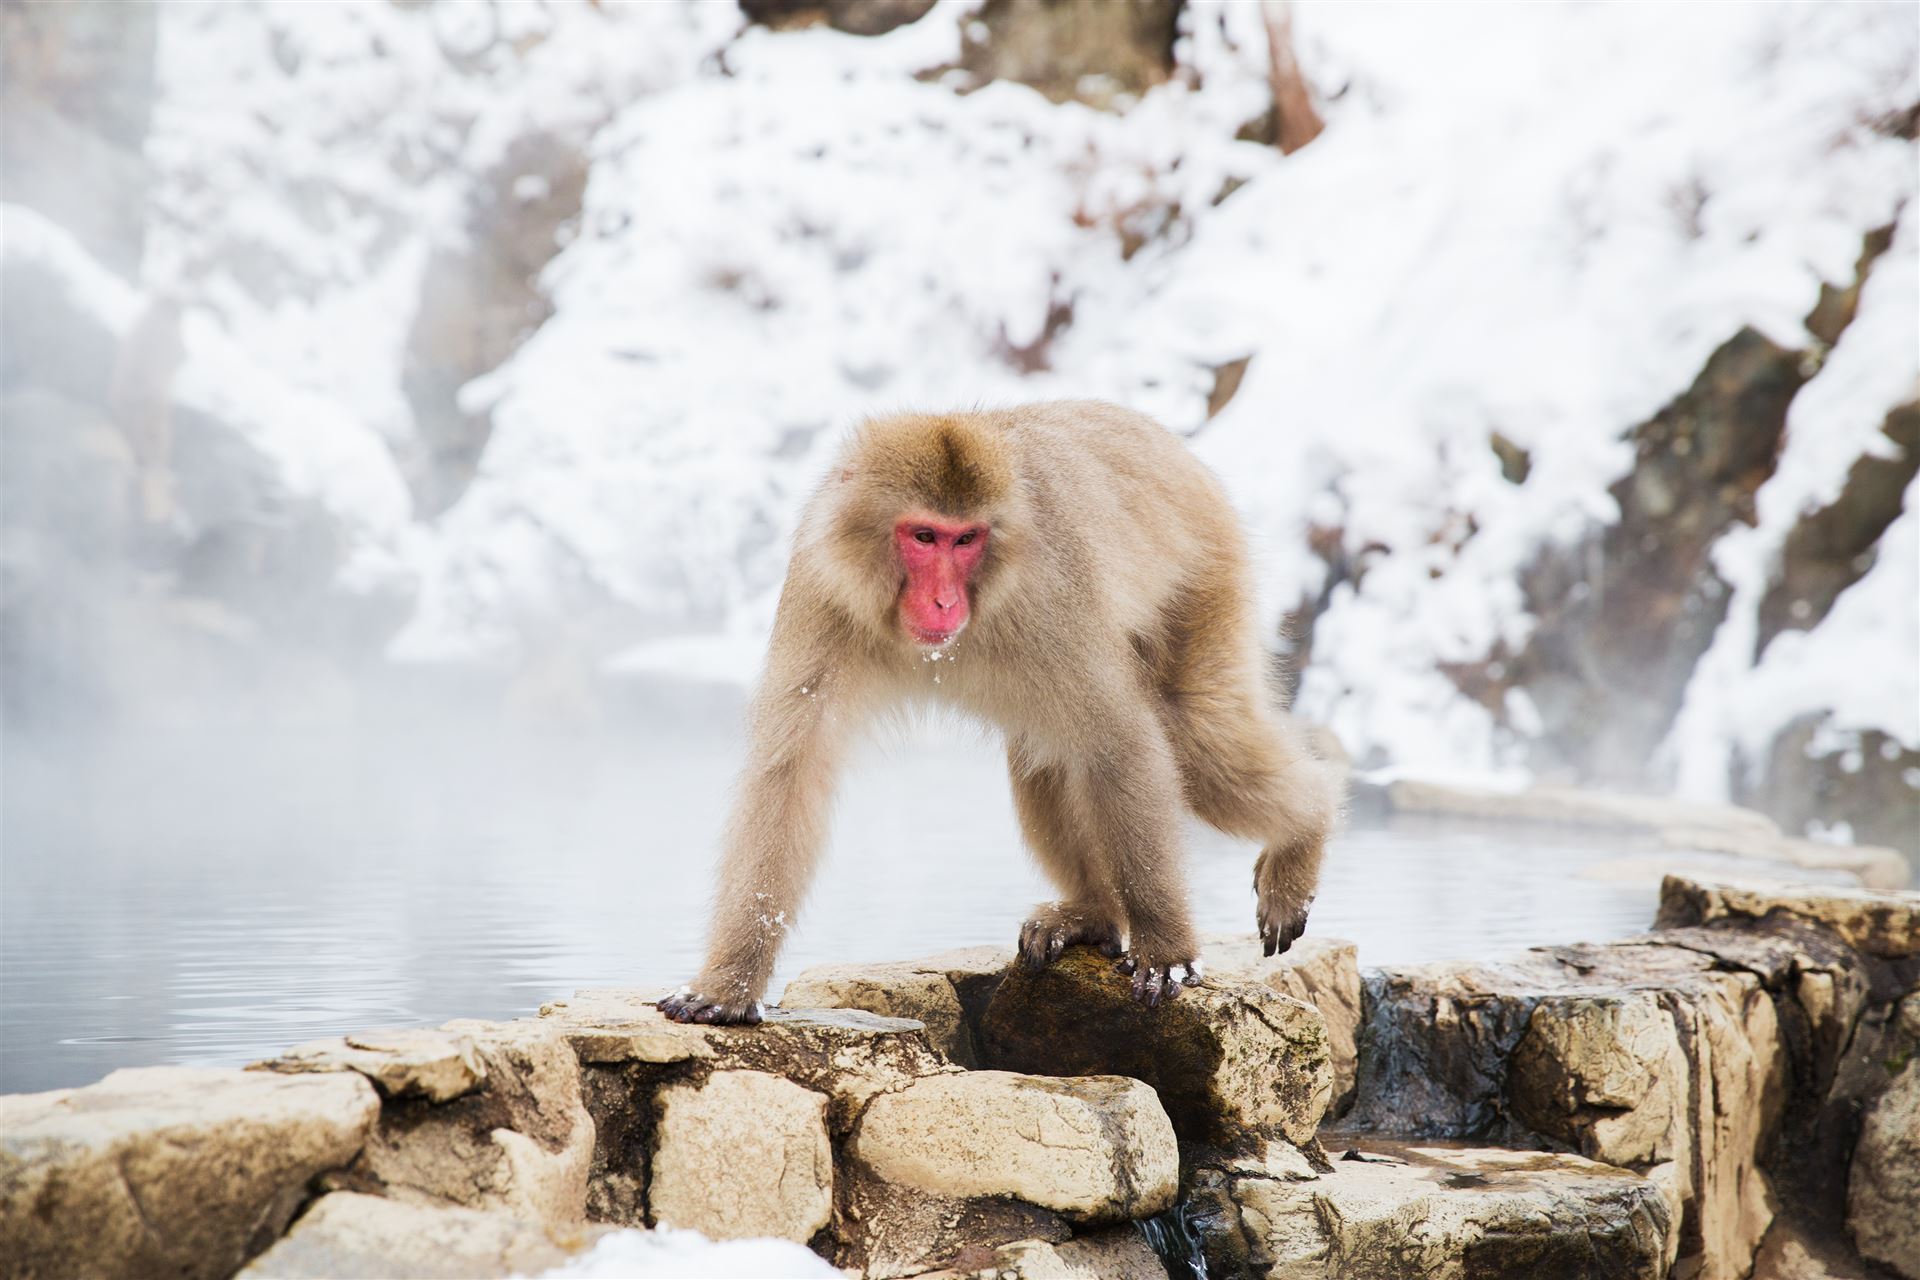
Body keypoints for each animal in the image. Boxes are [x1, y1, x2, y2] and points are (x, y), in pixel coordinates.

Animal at [659, 401, 1343, 1025]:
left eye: (967, 539)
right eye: (924, 536)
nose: (943, 601)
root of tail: (1165, 441)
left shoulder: (1050, 592)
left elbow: (1118, 743)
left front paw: (1167, 952)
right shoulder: (823, 587)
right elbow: (791, 770)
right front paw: (729, 983)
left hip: (1206, 577)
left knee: (1191, 739)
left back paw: (1309, 823)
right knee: (1045, 752)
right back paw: (1093, 914)